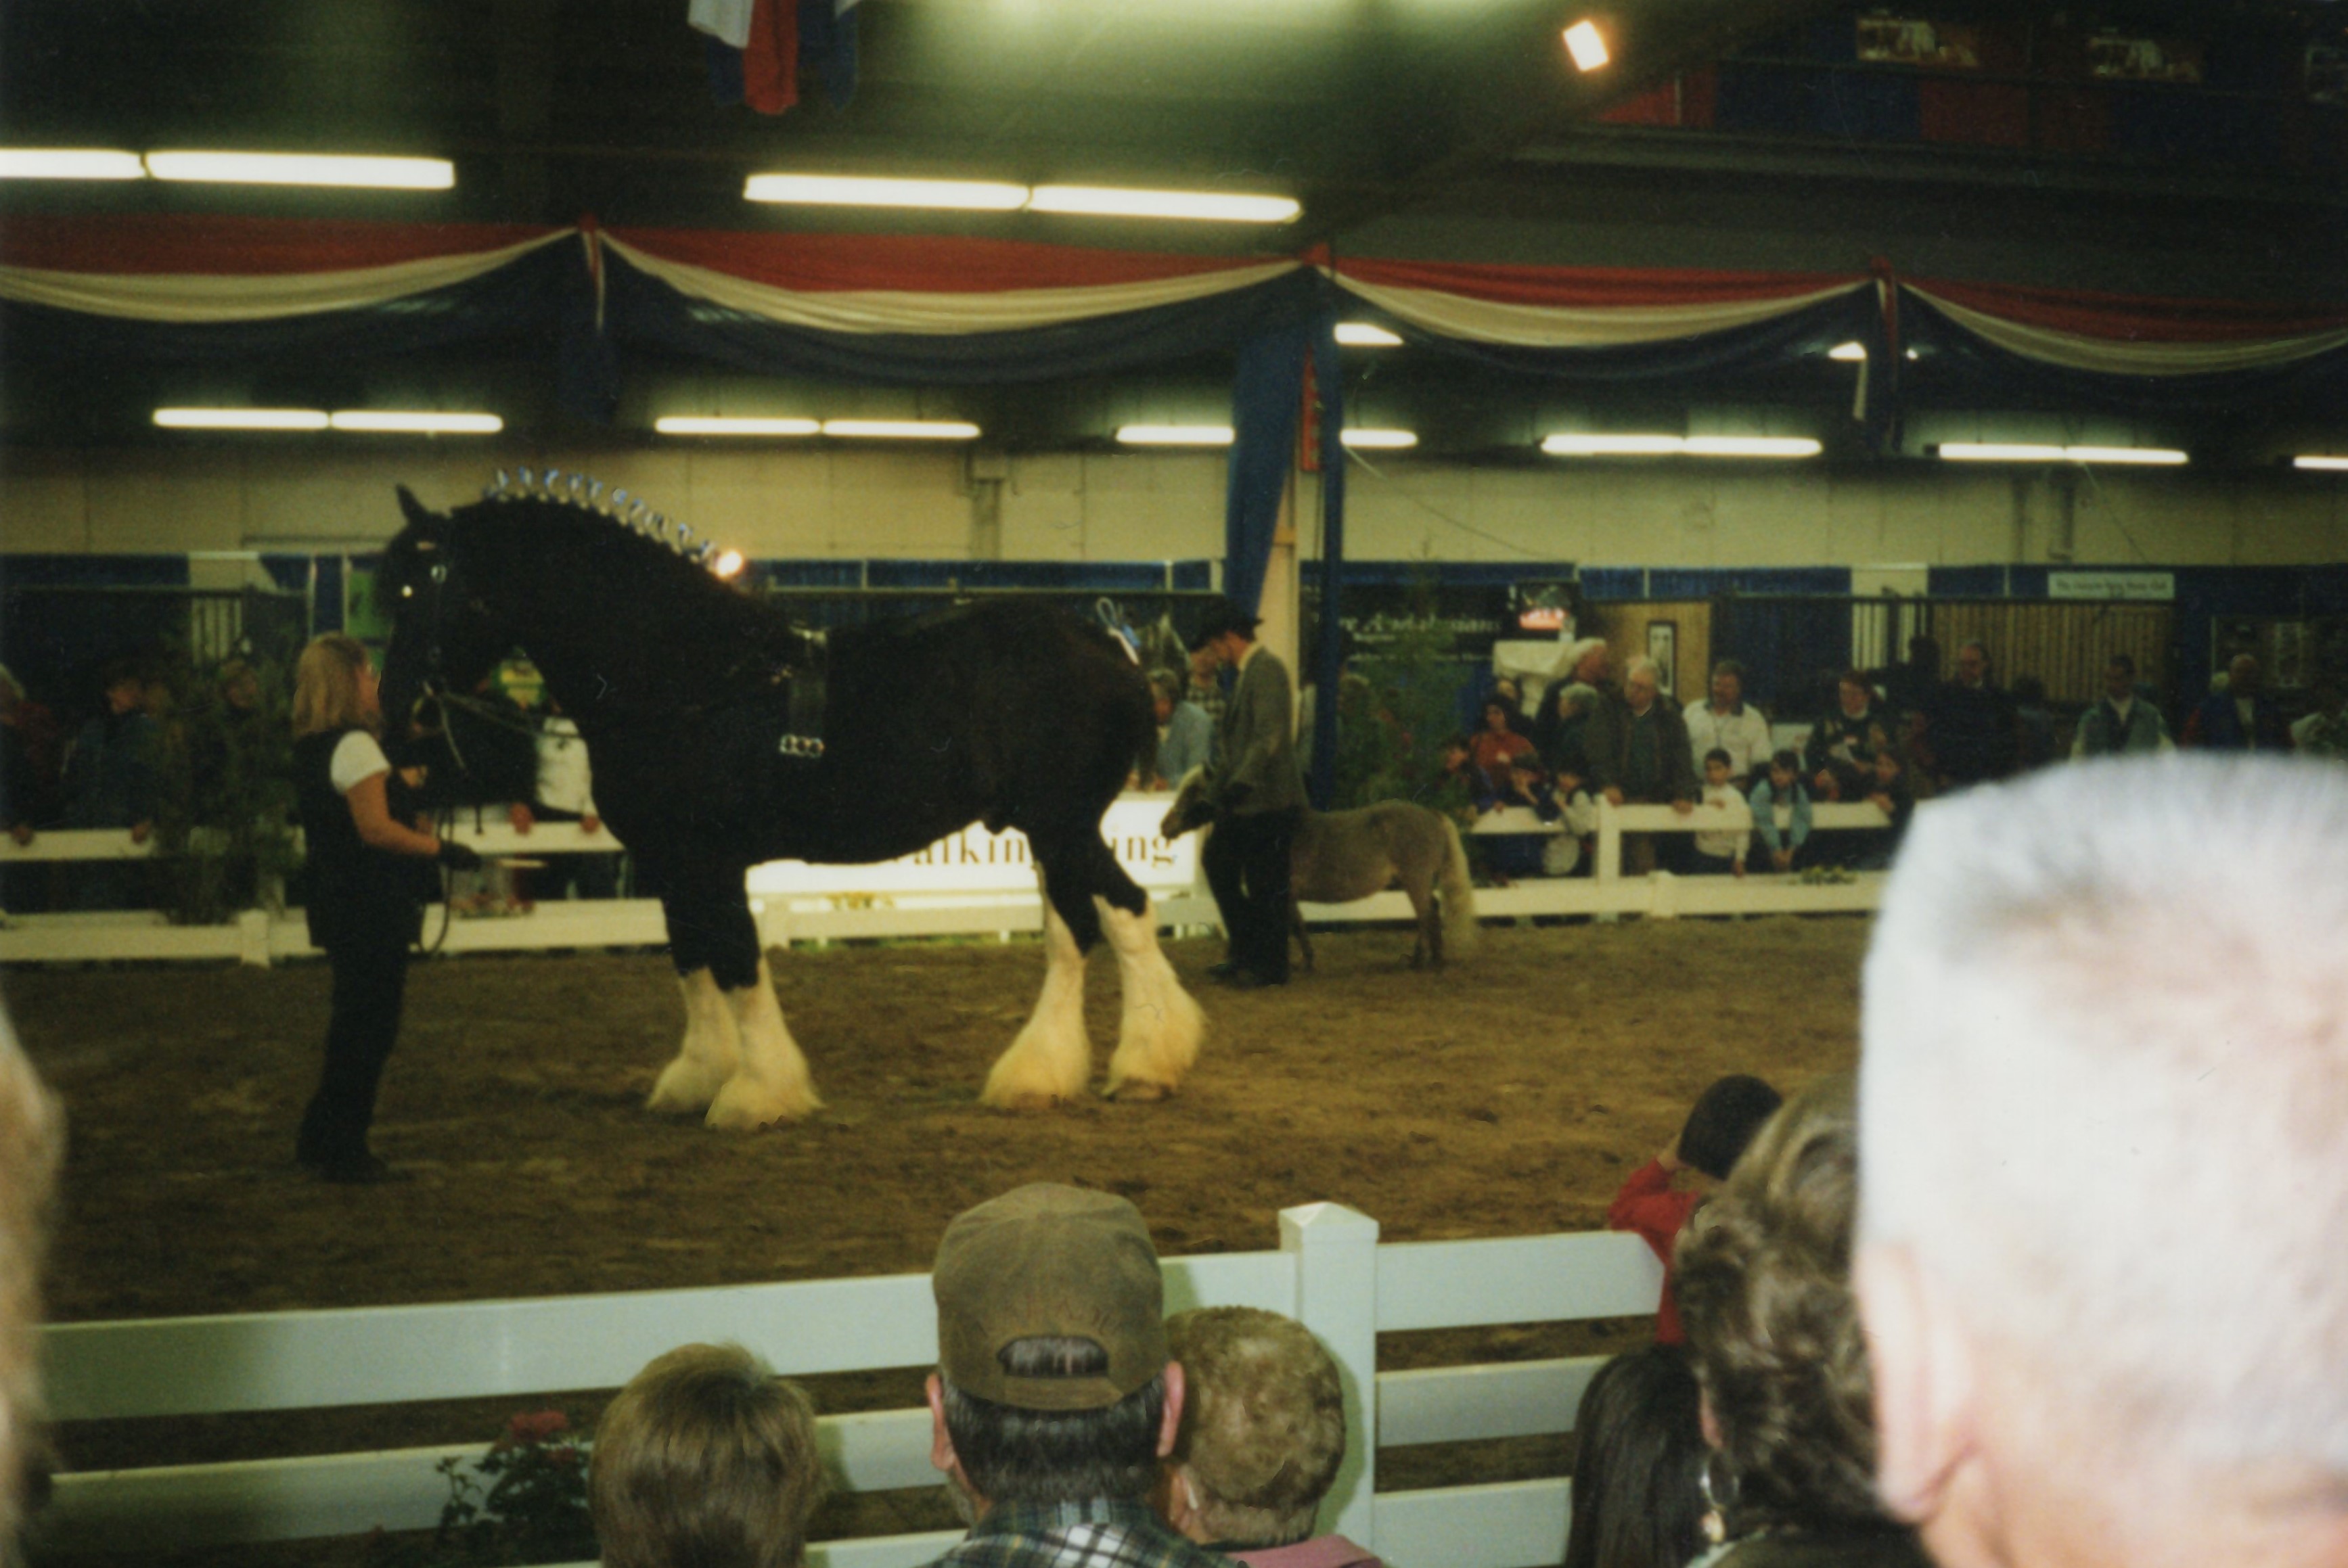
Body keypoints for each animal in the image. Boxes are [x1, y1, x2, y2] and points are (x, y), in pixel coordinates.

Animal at [375, 475, 1205, 1127]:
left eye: (430, 585)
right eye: (391, 588)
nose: (398, 715)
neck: (692, 675)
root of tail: (1109, 647)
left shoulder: (711, 856)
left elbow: (738, 962)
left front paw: (757, 1093)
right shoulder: (670, 861)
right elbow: (692, 961)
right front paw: (697, 1077)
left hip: (1063, 824)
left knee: (1125, 910)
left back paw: (1141, 1067)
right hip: (1046, 830)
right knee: (1074, 930)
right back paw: (1043, 1075)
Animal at [1162, 771, 1478, 971]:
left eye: (1194, 793)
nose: (1165, 826)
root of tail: (1432, 815)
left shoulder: (1283, 893)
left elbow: (1296, 926)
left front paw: (1305, 961)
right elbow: (1297, 924)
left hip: (1416, 880)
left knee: (1426, 914)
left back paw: (1419, 959)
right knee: (1431, 912)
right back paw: (1434, 958)